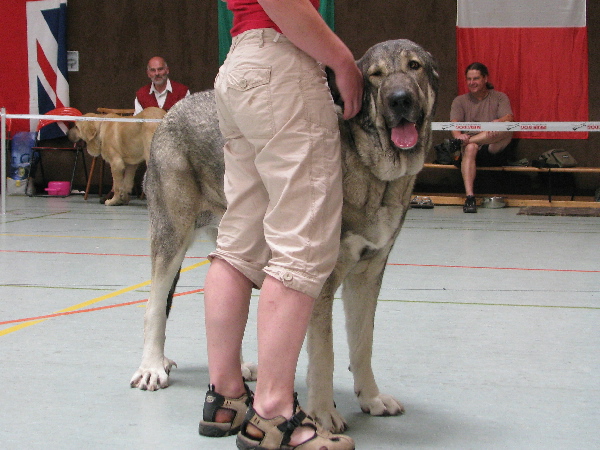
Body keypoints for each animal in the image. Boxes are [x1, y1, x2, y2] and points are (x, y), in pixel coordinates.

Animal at [131, 38, 438, 432]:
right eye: (375, 75)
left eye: (414, 66)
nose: (400, 99)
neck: (374, 173)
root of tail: (170, 112)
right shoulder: (320, 279)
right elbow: (325, 353)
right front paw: (323, 414)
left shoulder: (367, 276)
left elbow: (362, 344)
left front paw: (370, 398)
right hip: (171, 236)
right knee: (155, 306)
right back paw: (152, 366)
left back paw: (238, 370)